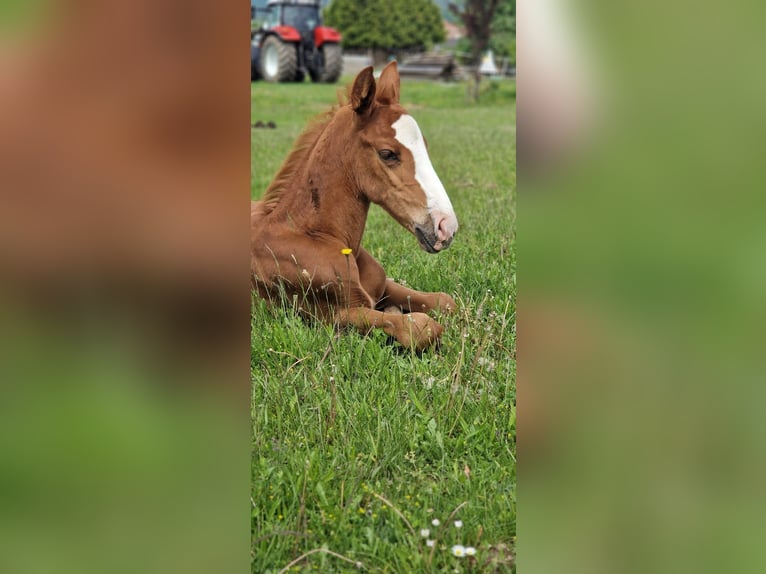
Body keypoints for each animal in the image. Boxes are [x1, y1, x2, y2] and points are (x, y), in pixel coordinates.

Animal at [251, 61, 459, 351]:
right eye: (387, 153)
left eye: (424, 147)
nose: (446, 227)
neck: (317, 236)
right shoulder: (335, 315)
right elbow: (423, 326)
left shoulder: (384, 285)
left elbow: (446, 301)